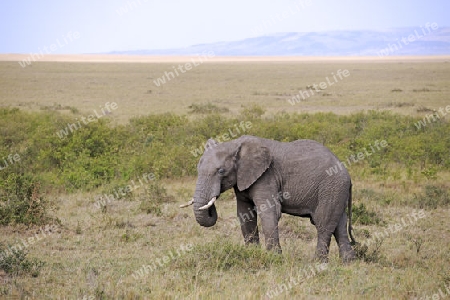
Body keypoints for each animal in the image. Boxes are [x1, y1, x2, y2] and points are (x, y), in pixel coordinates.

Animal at [179, 135, 356, 262]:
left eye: (221, 171)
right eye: (197, 169)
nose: (212, 204)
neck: (235, 144)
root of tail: (347, 173)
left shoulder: (266, 176)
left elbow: (269, 211)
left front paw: (274, 258)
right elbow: (244, 214)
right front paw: (251, 254)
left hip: (330, 187)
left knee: (323, 223)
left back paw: (318, 263)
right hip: (336, 190)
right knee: (339, 224)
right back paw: (348, 262)